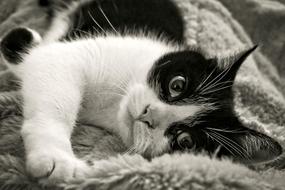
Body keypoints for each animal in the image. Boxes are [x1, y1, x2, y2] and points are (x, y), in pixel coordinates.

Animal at [0, 0, 280, 183]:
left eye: (186, 141)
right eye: (177, 85)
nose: (148, 115)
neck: (113, 105)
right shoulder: (78, 53)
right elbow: (47, 69)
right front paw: (56, 157)